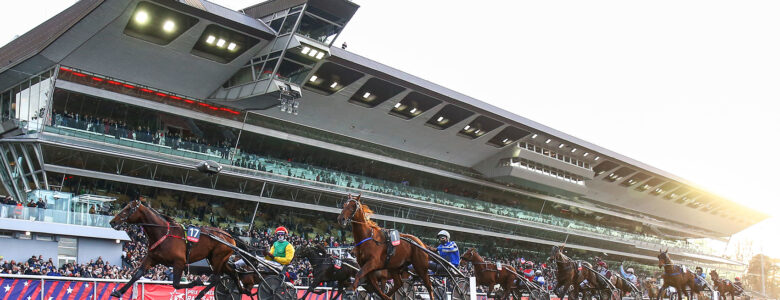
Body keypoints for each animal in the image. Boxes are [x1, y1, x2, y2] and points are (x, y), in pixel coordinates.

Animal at [109, 199, 247, 300]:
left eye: (128, 209)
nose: (112, 222)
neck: (164, 233)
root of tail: (230, 236)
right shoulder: (152, 258)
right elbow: (137, 274)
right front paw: (118, 292)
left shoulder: (179, 262)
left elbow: (176, 283)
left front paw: (196, 281)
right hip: (216, 259)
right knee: (233, 273)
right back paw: (241, 290)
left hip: (218, 258)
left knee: (217, 278)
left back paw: (200, 295)